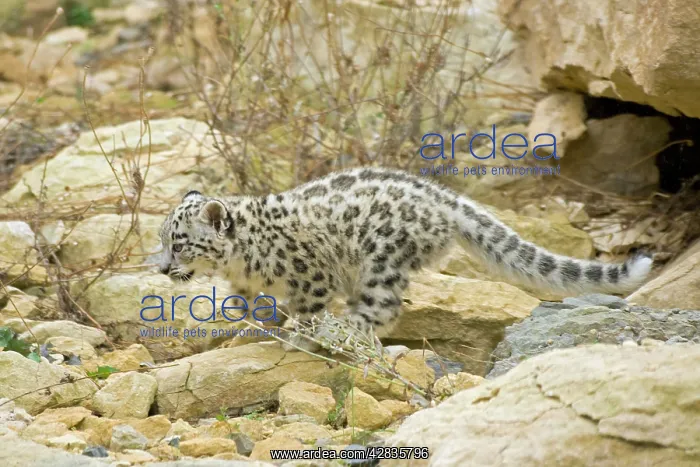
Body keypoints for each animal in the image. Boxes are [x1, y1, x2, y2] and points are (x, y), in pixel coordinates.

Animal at [158, 167, 653, 351]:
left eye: (179, 243)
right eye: (164, 240)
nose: (162, 267)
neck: (240, 264)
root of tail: (442, 196)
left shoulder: (312, 278)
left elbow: (306, 312)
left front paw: (298, 339)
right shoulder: (247, 287)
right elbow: (247, 307)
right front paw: (241, 332)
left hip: (381, 263)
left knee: (382, 310)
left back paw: (348, 332)